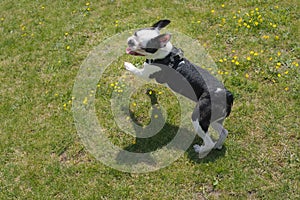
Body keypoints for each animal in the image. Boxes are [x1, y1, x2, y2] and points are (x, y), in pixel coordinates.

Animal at [123, 19, 233, 158]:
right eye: (135, 33)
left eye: (142, 46)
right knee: (224, 132)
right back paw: (218, 145)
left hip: (199, 118)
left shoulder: (146, 74)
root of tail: (228, 95)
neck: (164, 55)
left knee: (208, 142)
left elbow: (136, 70)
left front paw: (128, 65)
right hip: (214, 119)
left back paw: (200, 150)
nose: (130, 41)